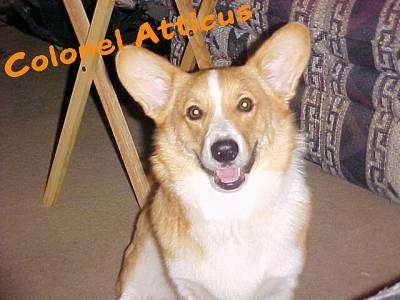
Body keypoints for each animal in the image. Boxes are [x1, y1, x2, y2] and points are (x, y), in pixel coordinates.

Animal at [115, 22, 312, 298]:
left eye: (245, 104)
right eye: (194, 112)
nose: (225, 150)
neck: (231, 213)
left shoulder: (281, 285)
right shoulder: (189, 288)